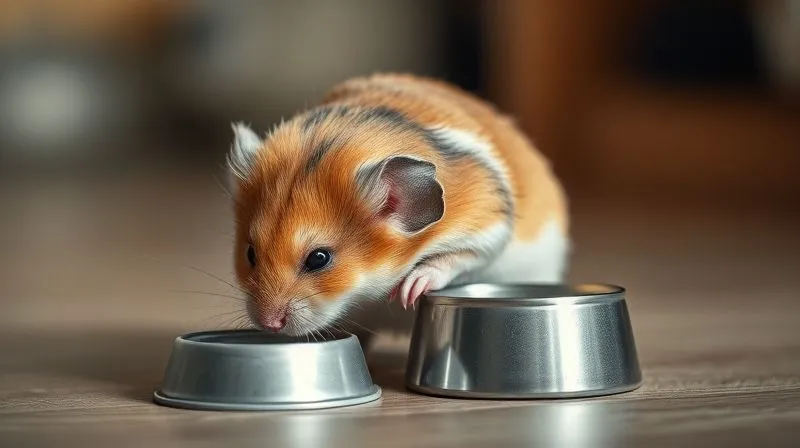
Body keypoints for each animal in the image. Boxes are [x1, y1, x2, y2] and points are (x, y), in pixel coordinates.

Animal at [226, 73, 570, 345]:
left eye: (318, 259)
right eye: (250, 254)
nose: (269, 325)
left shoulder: (488, 222)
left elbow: (461, 256)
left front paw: (407, 293)